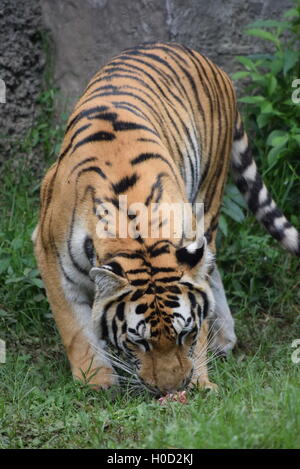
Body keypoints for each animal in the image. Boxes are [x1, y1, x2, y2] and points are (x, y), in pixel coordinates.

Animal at [31, 41, 298, 394]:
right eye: (138, 341)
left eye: (184, 333)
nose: (172, 390)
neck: (137, 233)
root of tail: (203, 57)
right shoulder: (49, 252)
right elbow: (75, 329)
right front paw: (96, 383)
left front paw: (202, 381)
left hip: (209, 194)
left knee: (211, 267)